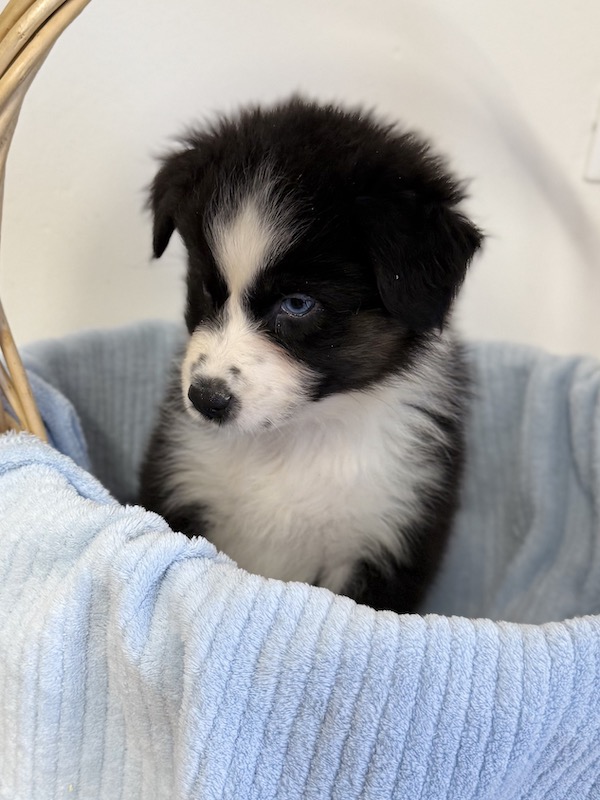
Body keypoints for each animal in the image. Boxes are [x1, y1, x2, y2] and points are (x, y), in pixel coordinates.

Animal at [139, 96, 482, 613]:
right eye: (206, 286)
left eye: (298, 304)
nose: (206, 400)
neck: (295, 437)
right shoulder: (181, 486)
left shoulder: (386, 532)